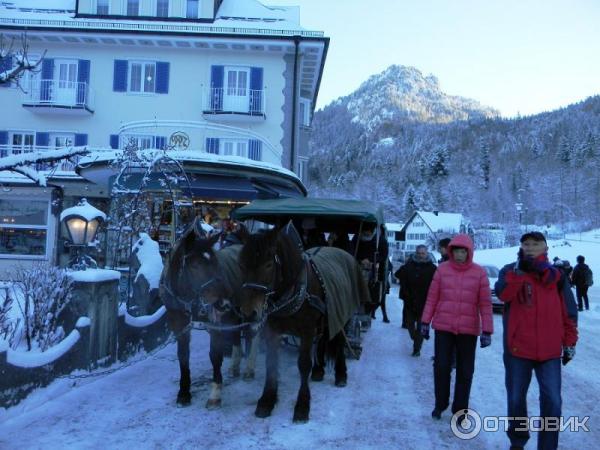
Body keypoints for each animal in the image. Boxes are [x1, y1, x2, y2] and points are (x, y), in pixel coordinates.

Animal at [159, 221, 258, 412]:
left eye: (216, 263)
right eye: (195, 265)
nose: (224, 301)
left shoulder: (215, 322)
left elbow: (215, 355)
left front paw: (215, 395)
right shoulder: (179, 322)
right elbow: (183, 355)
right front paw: (184, 393)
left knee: (251, 333)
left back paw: (249, 370)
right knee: (236, 334)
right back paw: (235, 366)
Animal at [239, 227, 370, 424]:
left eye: (269, 264)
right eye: (241, 264)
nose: (248, 313)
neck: (293, 289)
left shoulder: (307, 330)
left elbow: (303, 364)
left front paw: (302, 405)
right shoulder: (272, 330)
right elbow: (271, 362)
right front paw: (267, 400)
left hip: (342, 313)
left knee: (339, 342)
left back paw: (341, 374)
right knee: (323, 339)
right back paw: (319, 370)